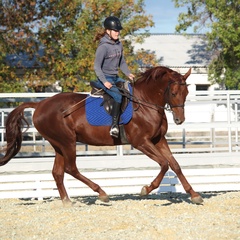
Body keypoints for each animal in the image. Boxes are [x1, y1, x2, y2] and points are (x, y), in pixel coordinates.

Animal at [0, 66, 203, 205]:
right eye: (174, 92)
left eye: (186, 92)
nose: (179, 120)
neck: (146, 102)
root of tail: (40, 105)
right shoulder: (141, 142)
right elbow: (164, 163)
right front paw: (146, 189)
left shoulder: (158, 140)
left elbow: (175, 165)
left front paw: (194, 195)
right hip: (67, 142)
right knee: (71, 169)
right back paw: (102, 193)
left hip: (58, 144)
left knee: (58, 172)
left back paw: (67, 202)